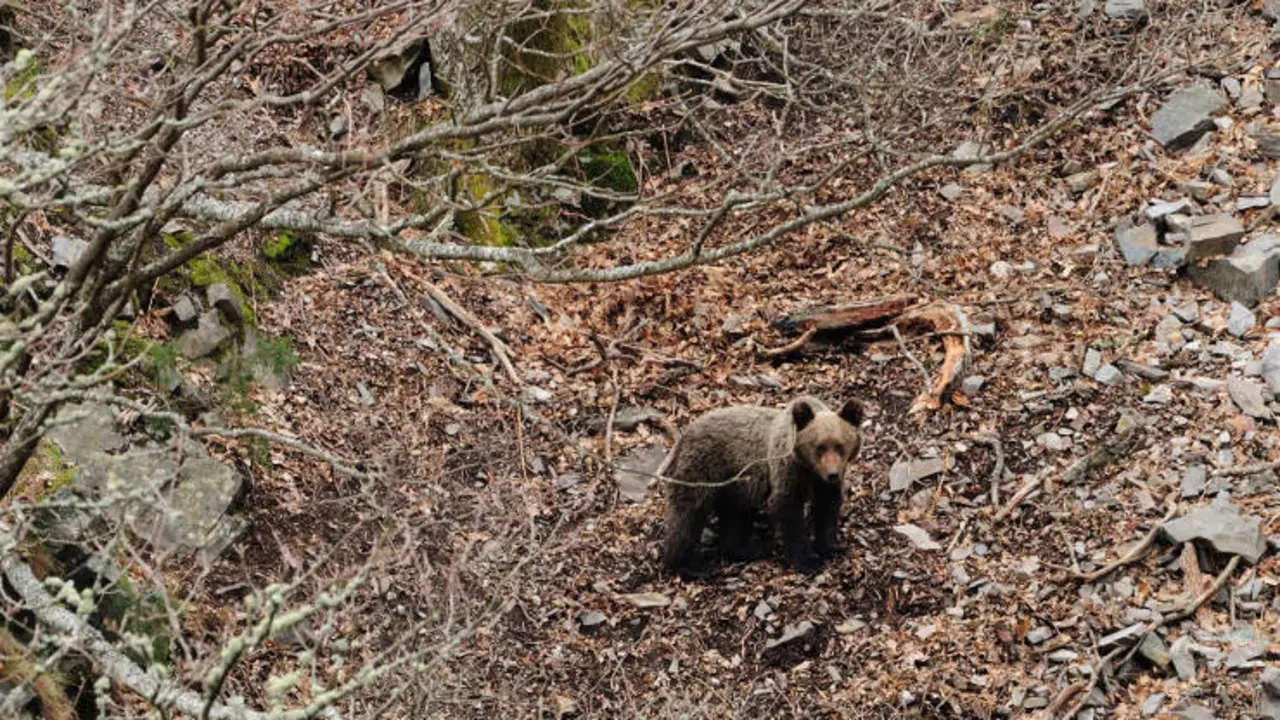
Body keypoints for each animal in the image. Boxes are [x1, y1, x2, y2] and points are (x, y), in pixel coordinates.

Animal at [659, 396, 864, 578]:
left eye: (840, 446)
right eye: (819, 447)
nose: (832, 474)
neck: (809, 469)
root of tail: (682, 437)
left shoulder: (822, 483)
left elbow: (827, 508)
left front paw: (831, 547)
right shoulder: (786, 467)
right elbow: (789, 509)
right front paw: (808, 562)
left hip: (735, 484)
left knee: (734, 516)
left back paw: (749, 548)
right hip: (702, 468)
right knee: (689, 514)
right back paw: (689, 566)